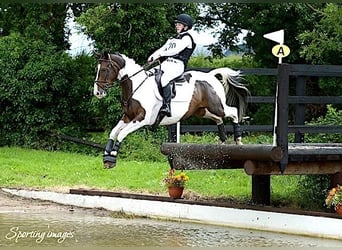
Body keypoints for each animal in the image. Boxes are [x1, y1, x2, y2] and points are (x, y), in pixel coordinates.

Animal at [93, 51, 248, 169]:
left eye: (105, 70)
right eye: (97, 69)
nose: (97, 93)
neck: (136, 87)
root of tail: (211, 76)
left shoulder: (141, 119)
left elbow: (121, 134)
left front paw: (112, 157)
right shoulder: (127, 117)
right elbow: (114, 132)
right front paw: (106, 156)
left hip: (216, 106)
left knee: (233, 112)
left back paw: (238, 141)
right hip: (203, 111)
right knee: (219, 120)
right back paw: (222, 143)